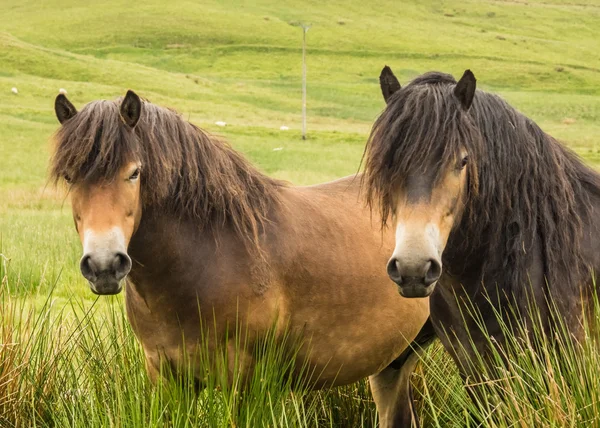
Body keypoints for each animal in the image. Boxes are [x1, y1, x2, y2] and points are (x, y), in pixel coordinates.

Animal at [50, 92, 426, 426]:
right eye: (69, 177)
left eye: (134, 173)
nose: (104, 266)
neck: (207, 259)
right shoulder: (167, 378)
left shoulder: (247, 384)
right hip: (394, 363)